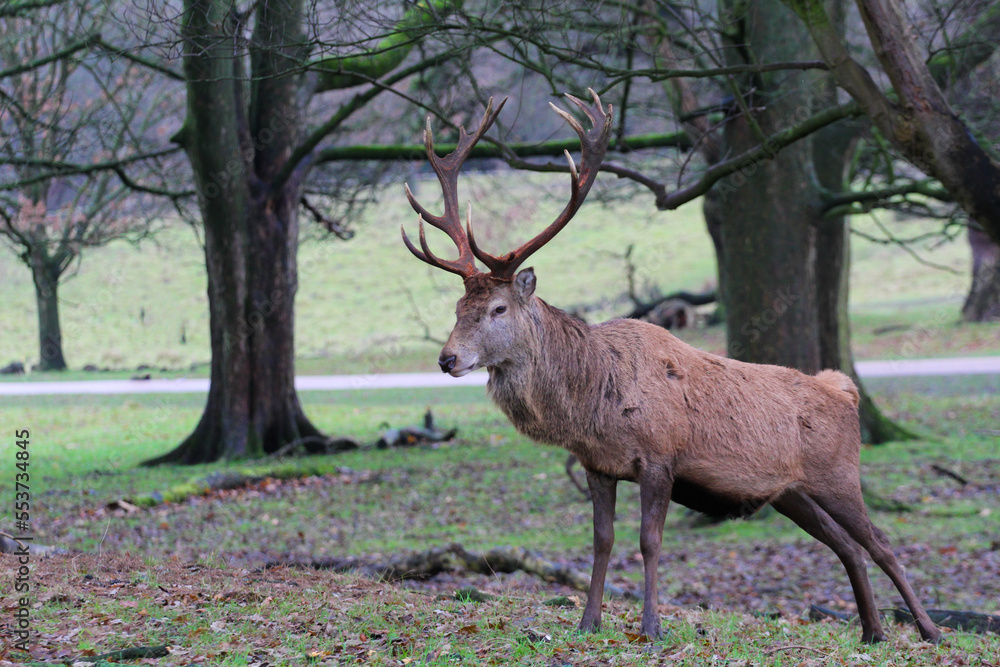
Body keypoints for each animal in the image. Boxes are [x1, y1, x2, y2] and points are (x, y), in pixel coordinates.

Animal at [396, 91, 936, 644]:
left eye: (499, 309)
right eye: (457, 308)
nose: (448, 358)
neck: (594, 400)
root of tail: (845, 391)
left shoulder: (659, 458)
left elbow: (648, 541)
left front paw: (651, 626)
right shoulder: (596, 465)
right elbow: (603, 540)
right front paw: (589, 622)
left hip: (839, 474)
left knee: (882, 542)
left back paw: (928, 629)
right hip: (792, 492)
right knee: (847, 547)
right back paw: (872, 631)